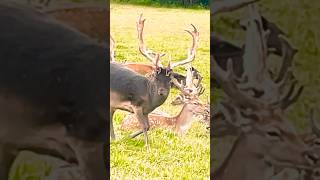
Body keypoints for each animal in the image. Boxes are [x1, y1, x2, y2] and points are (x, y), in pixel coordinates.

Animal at [111, 14, 199, 146]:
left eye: (170, 80)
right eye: (155, 77)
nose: (162, 91)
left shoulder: (146, 111)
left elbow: (147, 126)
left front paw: (127, 138)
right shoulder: (136, 106)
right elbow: (144, 126)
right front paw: (146, 146)